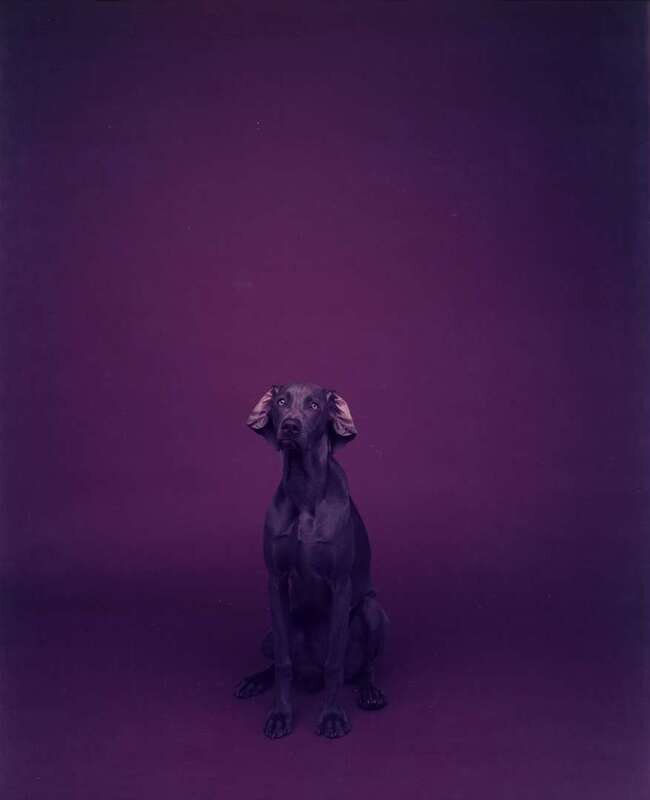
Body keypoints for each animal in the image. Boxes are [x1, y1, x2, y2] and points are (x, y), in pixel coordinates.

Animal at [234, 382, 389, 739]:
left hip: (374, 611)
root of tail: (311, 675)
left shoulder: (341, 583)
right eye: (280, 402)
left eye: (315, 405)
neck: (304, 490)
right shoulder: (276, 582)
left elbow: (334, 663)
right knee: (278, 657)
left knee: (363, 665)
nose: (290, 427)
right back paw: (255, 680)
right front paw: (281, 715)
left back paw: (369, 690)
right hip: (270, 633)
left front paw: (332, 716)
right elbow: (283, 663)